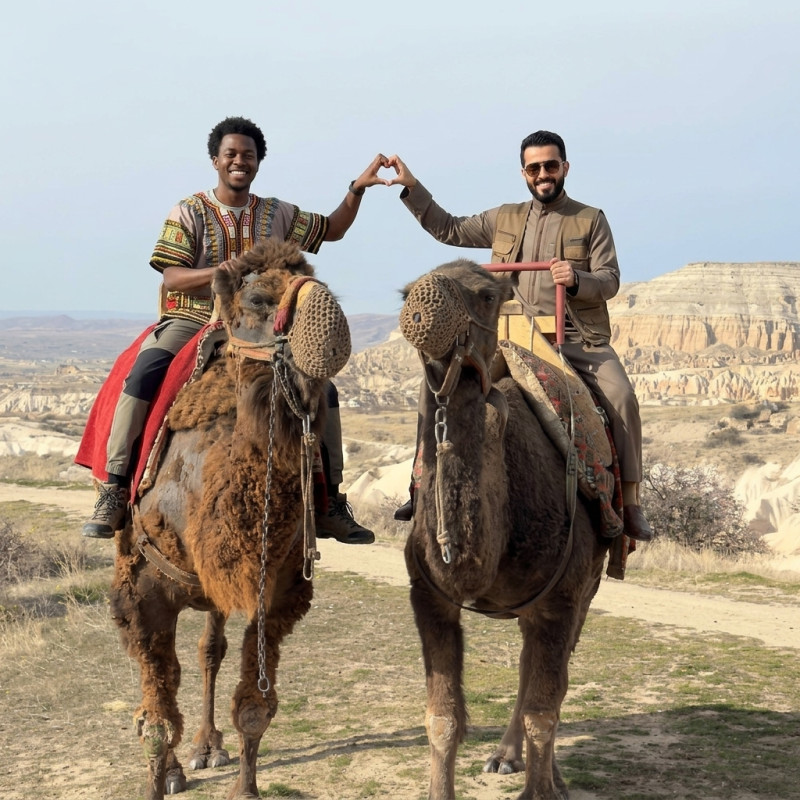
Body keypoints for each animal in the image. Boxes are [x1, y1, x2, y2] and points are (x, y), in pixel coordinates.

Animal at [109, 238, 351, 800]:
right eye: (260, 299)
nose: (328, 323)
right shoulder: (144, 592)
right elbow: (155, 722)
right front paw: (162, 773)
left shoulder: (276, 590)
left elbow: (255, 708)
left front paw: (245, 785)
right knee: (178, 671)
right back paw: (180, 766)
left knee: (209, 649)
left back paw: (207, 746)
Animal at [400, 259, 612, 800]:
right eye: (404, 293)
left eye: (487, 295)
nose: (423, 307)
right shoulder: (427, 596)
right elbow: (442, 718)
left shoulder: (560, 599)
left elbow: (544, 711)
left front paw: (542, 790)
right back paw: (505, 758)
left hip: (586, 585)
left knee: (554, 680)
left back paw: (546, 773)